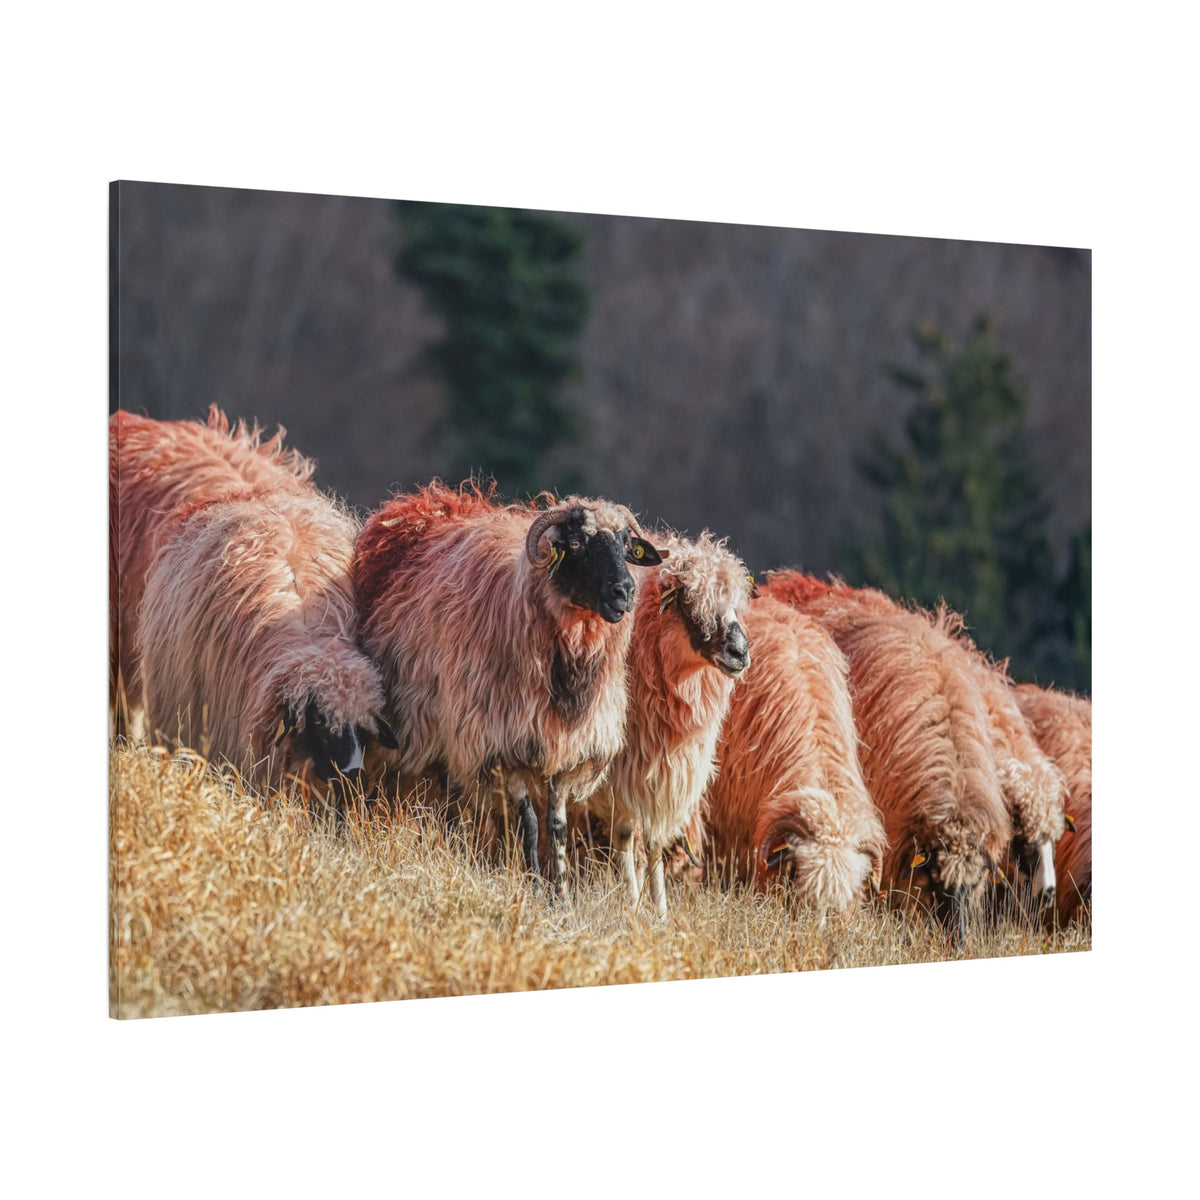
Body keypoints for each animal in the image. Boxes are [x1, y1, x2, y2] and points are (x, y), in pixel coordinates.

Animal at [353, 480, 666, 897]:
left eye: (626, 543)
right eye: (577, 543)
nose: (625, 592)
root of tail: (432, 503)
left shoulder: (565, 751)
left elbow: (557, 827)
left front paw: (560, 893)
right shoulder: (503, 745)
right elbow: (530, 824)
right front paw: (536, 889)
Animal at [585, 529, 752, 917]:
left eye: (737, 603)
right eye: (688, 600)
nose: (740, 652)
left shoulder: (662, 774)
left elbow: (654, 843)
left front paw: (660, 911)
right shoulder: (619, 775)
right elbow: (626, 836)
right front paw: (633, 904)